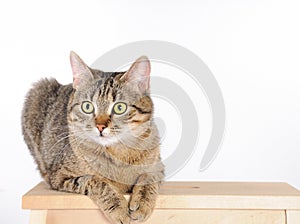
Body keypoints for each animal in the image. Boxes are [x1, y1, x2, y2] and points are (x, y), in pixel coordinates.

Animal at [21, 51, 164, 223]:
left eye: (119, 107)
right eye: (87, 106)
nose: (100, 126)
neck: (119, 153)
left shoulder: (158, 168)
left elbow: (148, 178)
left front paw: (142, 203)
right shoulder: (59, 177)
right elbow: (95, 181)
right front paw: (118, 208)